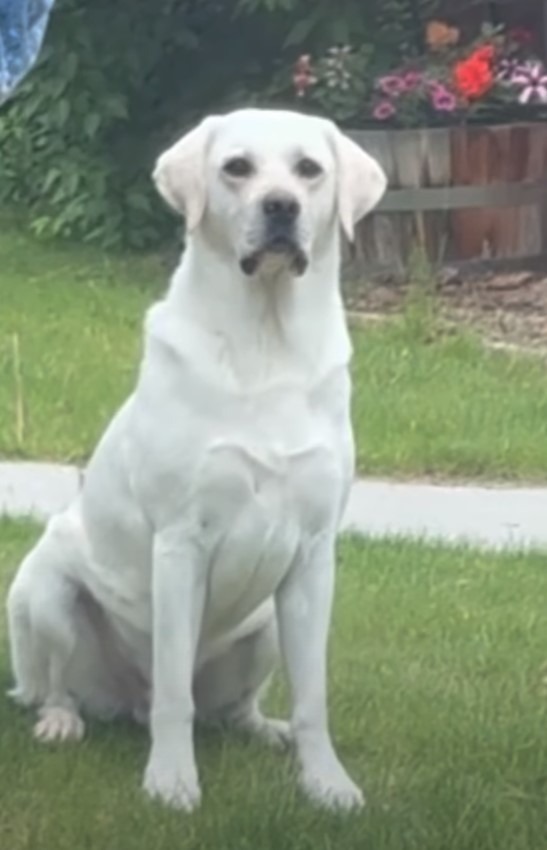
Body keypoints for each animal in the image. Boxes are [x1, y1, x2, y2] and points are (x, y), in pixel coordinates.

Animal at [6, 106, 388, 808]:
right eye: (237, 167)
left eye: (309, 169)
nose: (280, 206)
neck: (267, 337)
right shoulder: (182, 542)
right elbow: (174, 693)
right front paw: (171, 781)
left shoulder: (314, 553)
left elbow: (313, 698)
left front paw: (327, 784)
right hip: (46, 589)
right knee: (59, 685)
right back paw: (61, 721)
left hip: (266, 625)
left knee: (233, 709)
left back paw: (263, 730)